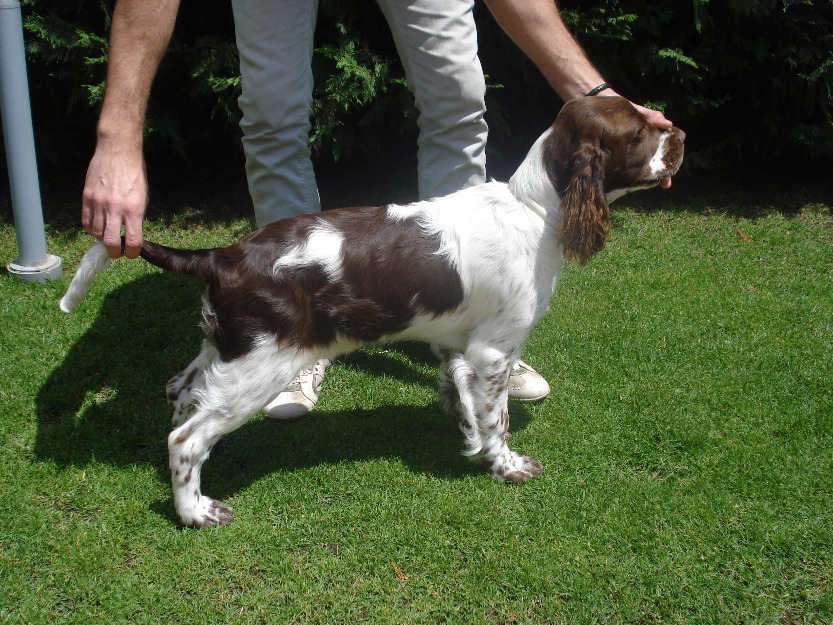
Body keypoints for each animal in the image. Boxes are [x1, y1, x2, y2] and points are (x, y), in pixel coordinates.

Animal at [58, 97, 684, 528]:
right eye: (637, 134)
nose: (678, 133)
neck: (534, 208)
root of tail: (222, 256)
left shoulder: (458, 345)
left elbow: (460, 393)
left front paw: (465, 433)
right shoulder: (494, 349)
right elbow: (498, 417)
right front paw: (505, 465)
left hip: (222, 347)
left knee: (179, 391)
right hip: (261, 367)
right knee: (186, 440)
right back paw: (195, 511)